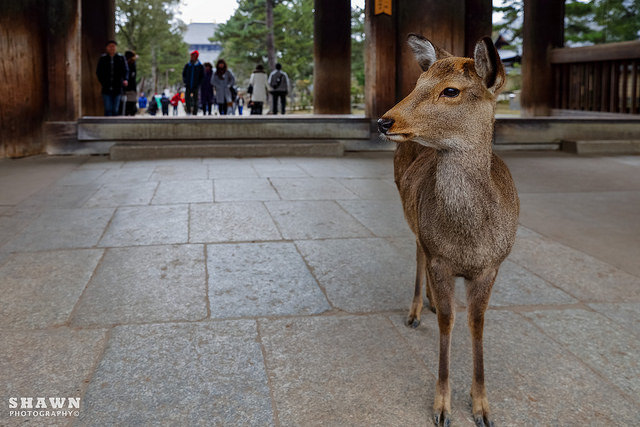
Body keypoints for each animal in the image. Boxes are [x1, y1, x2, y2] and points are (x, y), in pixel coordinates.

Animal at [380, 34, 520, 427]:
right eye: (416, 84)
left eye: (451, 90)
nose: (384, 121)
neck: (467, 242)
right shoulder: (439, 258)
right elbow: (447, 321)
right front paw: (441, 406)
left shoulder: (491, 266)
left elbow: (476, 323)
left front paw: (482, 407)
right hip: (411, 215)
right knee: (416, 251)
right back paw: (415, 310)